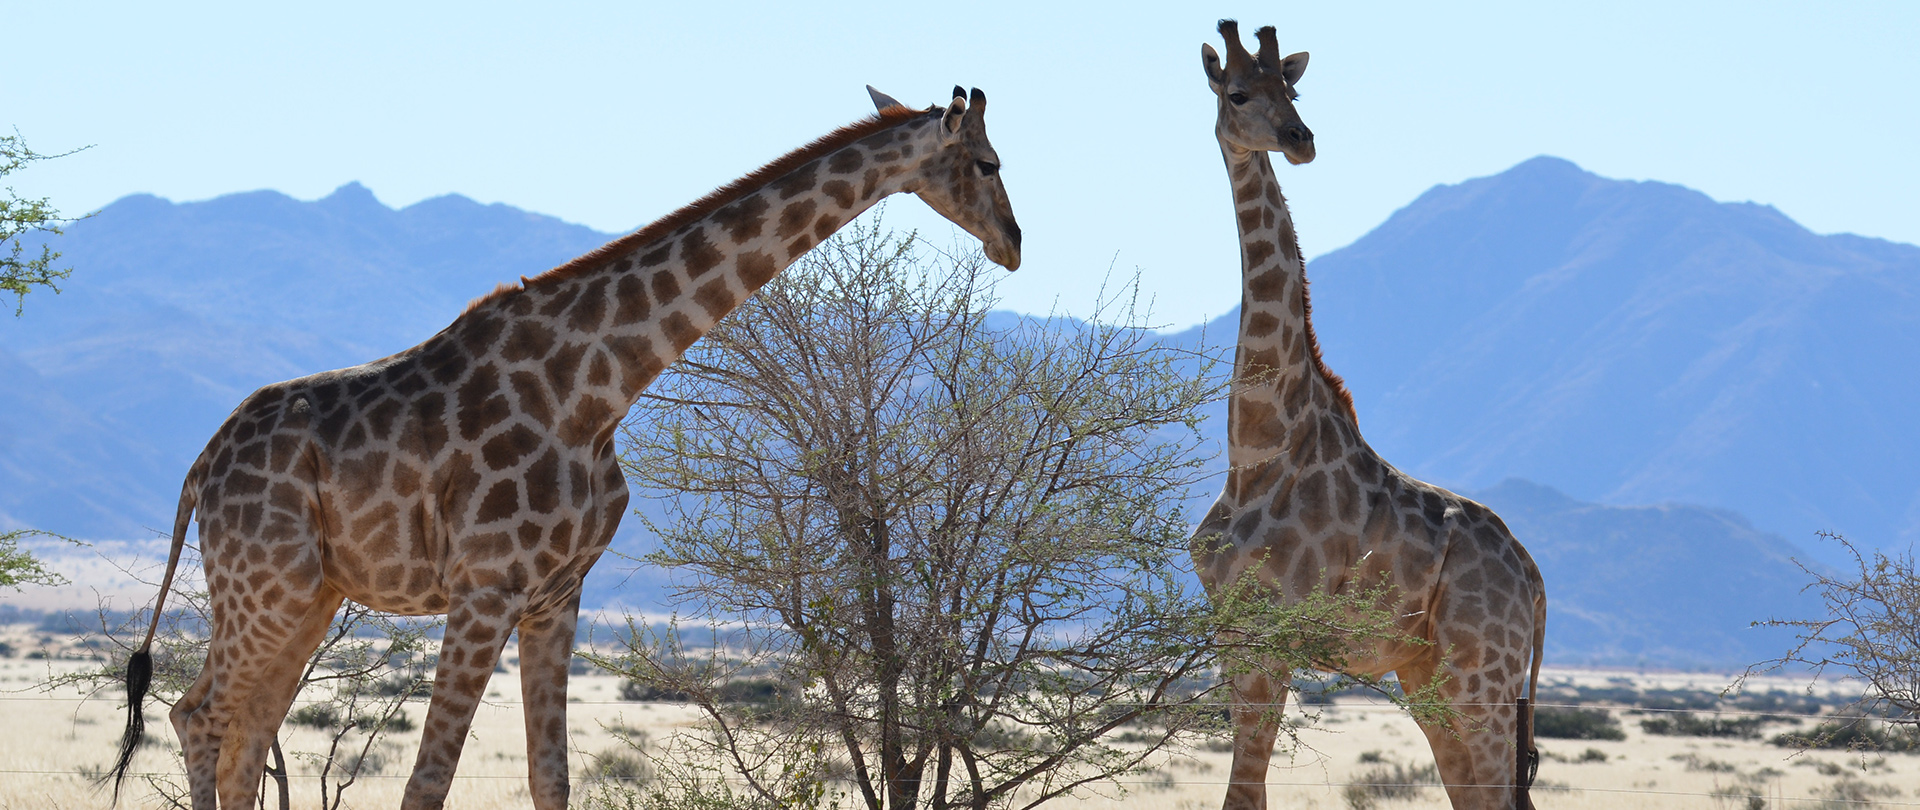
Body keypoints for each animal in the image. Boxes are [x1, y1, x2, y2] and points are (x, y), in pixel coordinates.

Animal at [108, 85, 1021, 806]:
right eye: (987, 163)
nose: (1014, 242)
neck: (599, 389)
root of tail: (201, 465)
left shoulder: (556, 595)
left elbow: (552, 777)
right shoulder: (484, 588)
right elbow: (427, 781)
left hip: (309, 595)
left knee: (247, 733)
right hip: (266, 587)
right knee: (199, 717)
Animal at [1190, 20, 1551, 810]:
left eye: (1292, 92)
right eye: (1239, 94)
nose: (1300, 140)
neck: (1256, 448)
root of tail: (1536, 580)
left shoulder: (1269, 641)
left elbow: (1245, 792)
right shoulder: (1231, 634)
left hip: (1482, 677)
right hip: (1429, 678)